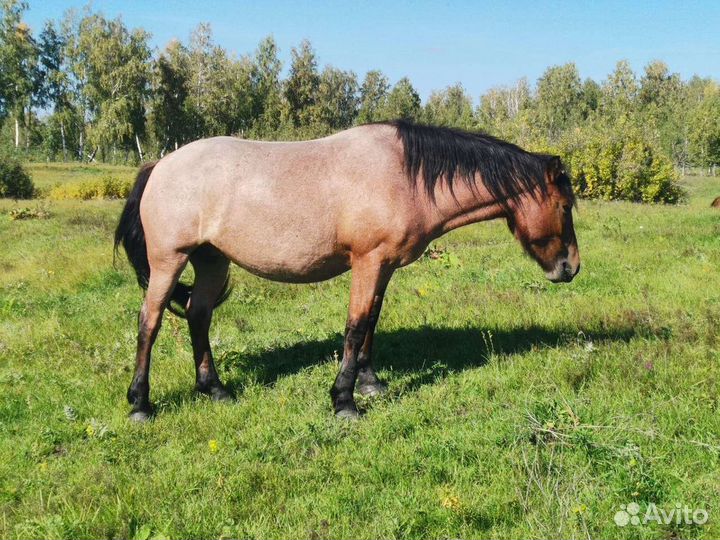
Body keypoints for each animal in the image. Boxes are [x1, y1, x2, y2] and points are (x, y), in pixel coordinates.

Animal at [115, 120, 580, 421]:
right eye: (564, 206)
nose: (571, 267)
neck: (402, 175)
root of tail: (158, 166)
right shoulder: (367, 261)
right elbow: (355, 326)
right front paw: (344, 401)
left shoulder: (384, 265)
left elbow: (371, 319)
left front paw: (369, 382)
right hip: (170, 260)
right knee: (149, 322)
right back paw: (140, 404)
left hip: (211, 259)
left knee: (198, 315)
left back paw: (214, 389)